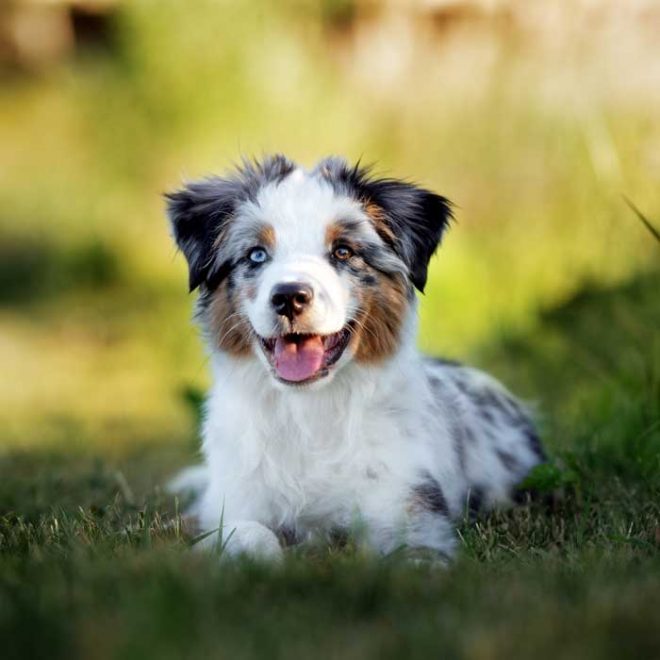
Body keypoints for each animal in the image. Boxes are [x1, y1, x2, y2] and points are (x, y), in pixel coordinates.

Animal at [166, 156, 548, 564]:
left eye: (343, 252)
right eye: (256, 254)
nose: (289, 296)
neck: (309, 412)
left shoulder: (412, 507)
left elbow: (410, 555)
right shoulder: (232, 502)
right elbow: (248, 534)